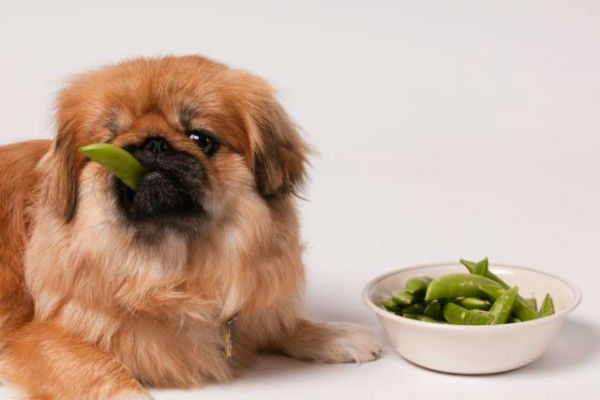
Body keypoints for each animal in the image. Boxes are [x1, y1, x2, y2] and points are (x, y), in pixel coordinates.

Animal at [0, 56, 380, 400]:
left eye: (201, 138)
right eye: (110, 140)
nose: (153, 142)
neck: (175, 273)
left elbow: (279, 324)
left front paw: (335, 335)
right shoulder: (40, 338)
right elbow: (104, 371)